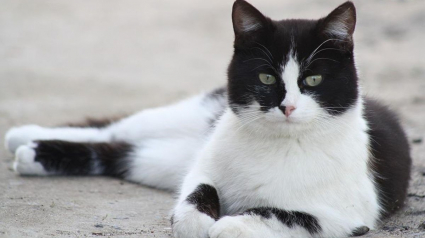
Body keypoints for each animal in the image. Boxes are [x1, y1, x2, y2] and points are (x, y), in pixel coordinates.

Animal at [4, 0, 410, 238]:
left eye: (313, 80)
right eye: (266, 77)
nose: (288, 107)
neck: (279, 144)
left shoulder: (347, 213)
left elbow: (284, 213)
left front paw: (231, 224)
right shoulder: (202, 167)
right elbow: (199, 189)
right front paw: (197, 222)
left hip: (159, 160)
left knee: (120, 151)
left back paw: (33, 153)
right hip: (187, 120)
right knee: (113, 128)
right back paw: (22, 135)